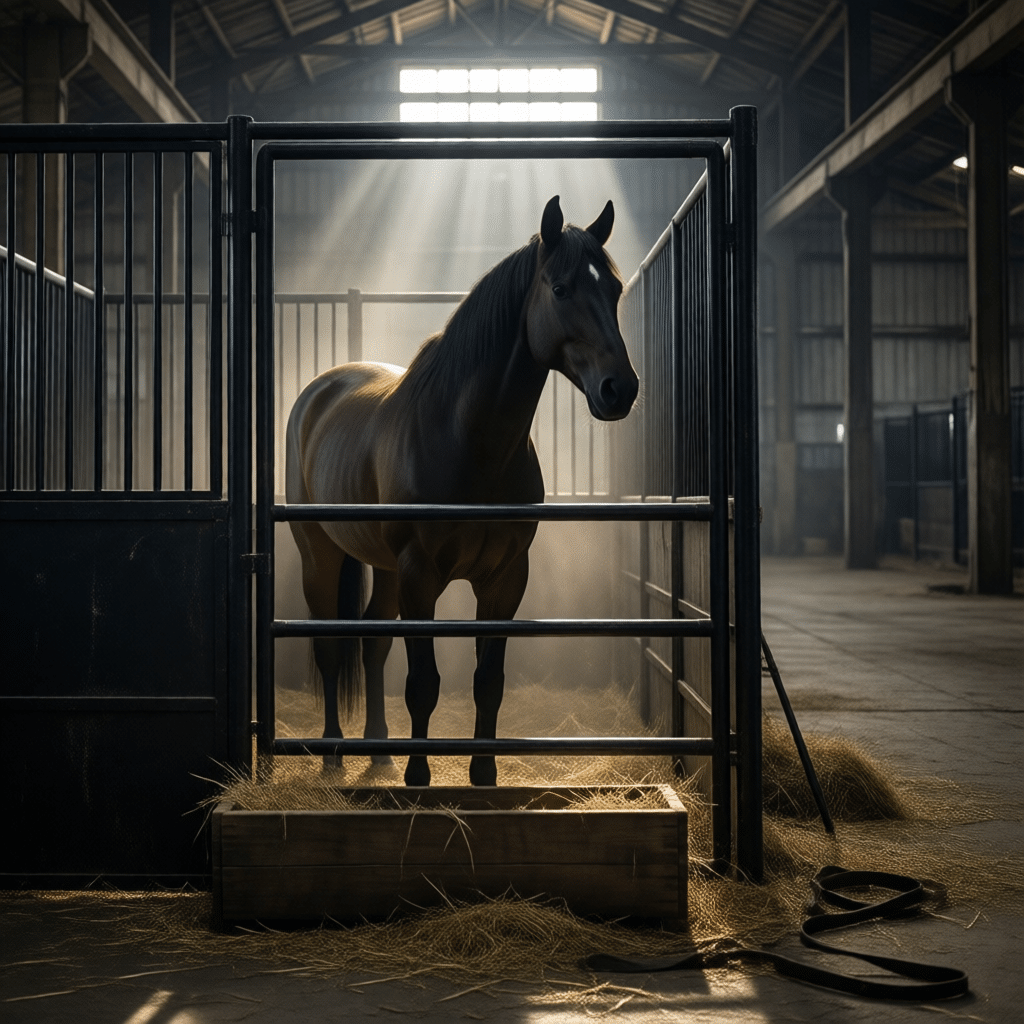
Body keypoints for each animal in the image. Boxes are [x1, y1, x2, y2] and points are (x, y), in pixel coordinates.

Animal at [285, 195, 638, 787]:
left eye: (614, 289)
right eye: (560, 288)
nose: (621, 389)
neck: (468, 440)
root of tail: (320, 391)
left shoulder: (504, 578)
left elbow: (487, 680)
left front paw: (482, 774)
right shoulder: (420, 575)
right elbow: (423, 682)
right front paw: (418, 777)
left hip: (384, 567)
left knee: (373, 643)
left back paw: (378, 752)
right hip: (322, 553)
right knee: (331, 646)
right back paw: (334, 755)